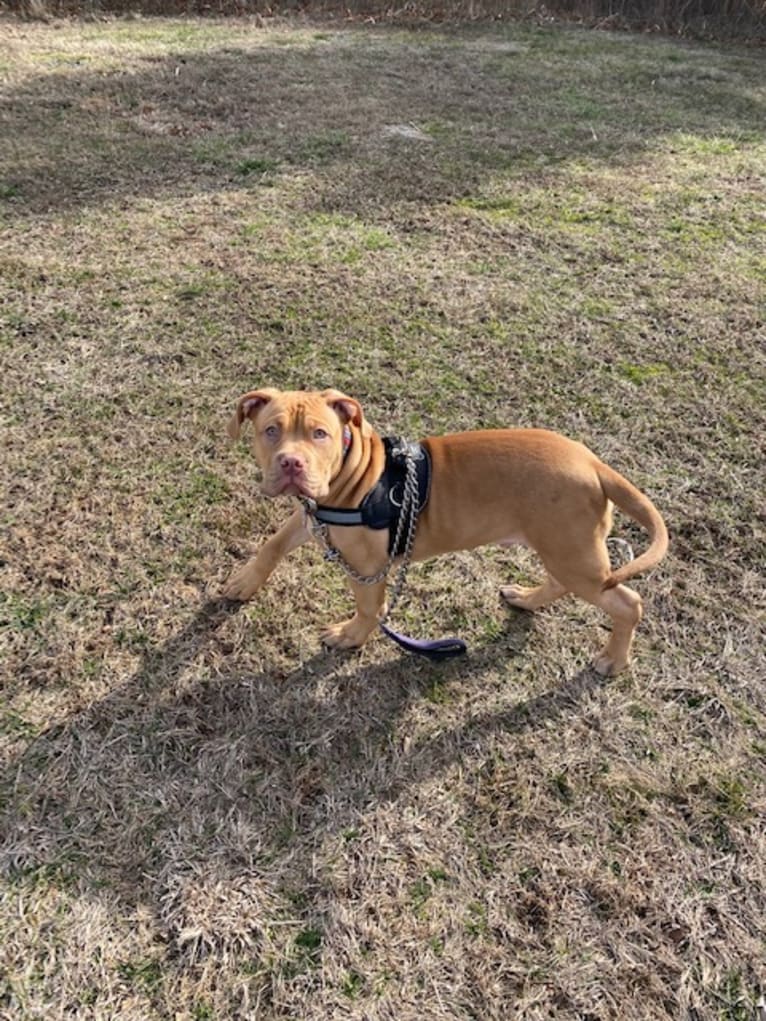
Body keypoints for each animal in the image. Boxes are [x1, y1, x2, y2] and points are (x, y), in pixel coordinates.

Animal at [224, 385, 669, 673]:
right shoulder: (311, 519)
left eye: (320, 434)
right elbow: (272, 544)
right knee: (561, 583)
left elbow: (369, 609)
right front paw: (244, 582)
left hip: (575, 556)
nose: (291, 463)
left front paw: (351, 637)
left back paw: (612, 660)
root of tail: (595, 465)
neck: (356, 474)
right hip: (565, 549)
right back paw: (527, 598)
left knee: (628, 603)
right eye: (270, 430)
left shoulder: (367, 567)